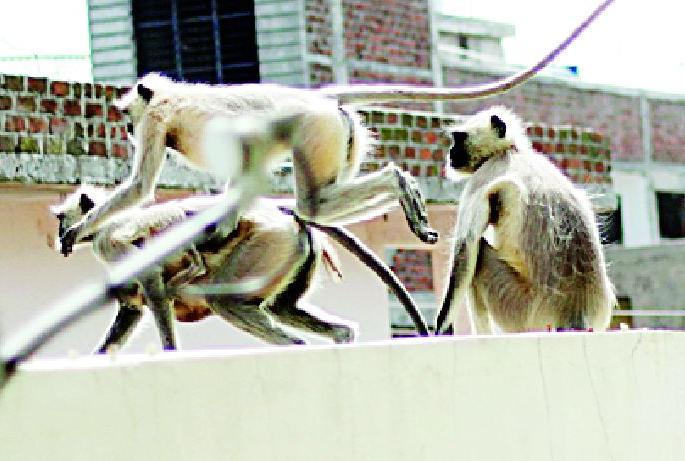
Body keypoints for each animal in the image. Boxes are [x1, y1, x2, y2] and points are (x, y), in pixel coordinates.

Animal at [57, 0, 614, 258]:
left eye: (128, 118)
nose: (126, 129)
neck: (170, 97)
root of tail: (321, 100)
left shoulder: (157, 121)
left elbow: (140, 187)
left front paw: (77, 230)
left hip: (316, 131)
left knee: (313, 203)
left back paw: (397, 185)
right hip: (342, 135)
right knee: (319, 202)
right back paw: (404, 194)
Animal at [435, 106, 616, 334]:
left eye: (459, 138)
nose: (451, 152)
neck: (512, 150)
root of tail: (575, 313)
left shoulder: (482, 176)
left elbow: (467, 244)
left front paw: (440, 327)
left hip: (521, 309)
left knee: (479, 255)